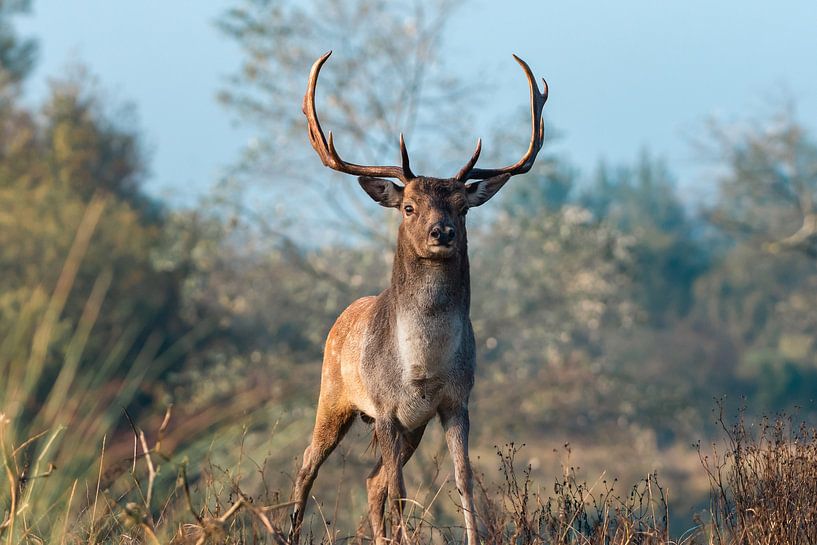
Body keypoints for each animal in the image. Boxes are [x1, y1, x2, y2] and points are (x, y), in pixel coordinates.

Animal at [289, 51, 548, 545]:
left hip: (412, 426)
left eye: (462, 208)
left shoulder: (455, 402)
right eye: (409, 206)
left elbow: (463, 479)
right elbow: (401, 490)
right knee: (310, 464)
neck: (423, 365)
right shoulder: (387, 407)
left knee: (371, 480)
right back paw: (289, 530)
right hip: (334, 394)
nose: (441, 232)